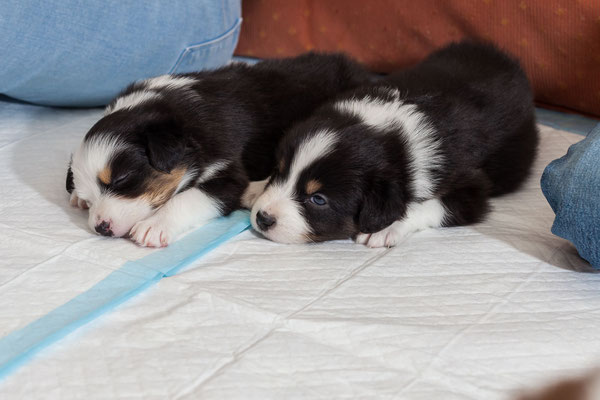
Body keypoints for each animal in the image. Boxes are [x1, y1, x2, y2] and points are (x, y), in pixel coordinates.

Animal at [68, 53, 372, 247]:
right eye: (89, 194)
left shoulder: (229, 174)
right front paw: (76, 197)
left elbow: (188, 198)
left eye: (121, 180)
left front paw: (154, 227)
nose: (100, 228)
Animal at [247, 40, 540, 247]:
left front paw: (385, 227)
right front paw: (255, 187)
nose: (263, 218)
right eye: (278, 171)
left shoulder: (472, 188)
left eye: (318, 199)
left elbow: (429, 205)